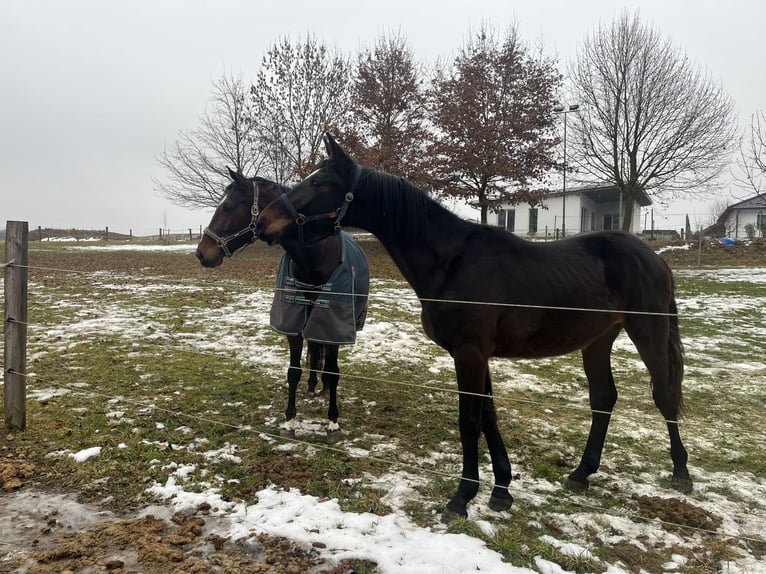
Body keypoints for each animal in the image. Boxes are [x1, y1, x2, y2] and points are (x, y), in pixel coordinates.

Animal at [195, 168, 369, 443]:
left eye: (229, 206)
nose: (202, 253)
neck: (316, 258)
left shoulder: (333, 325)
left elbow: (333, 371)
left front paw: (333, 423)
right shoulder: (293, 322)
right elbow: (293, 370)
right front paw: (289, 421)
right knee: (314, 350)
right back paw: (312, 385)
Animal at [255, 134, 692, 522]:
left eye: (320, 183)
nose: (263, 221)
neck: (451, 260)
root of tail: (653, 257)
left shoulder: (469, 354)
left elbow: (469, 420)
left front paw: (462, 497)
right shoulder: (479, 356)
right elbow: (488, 416)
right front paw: (501, 490)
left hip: (647, 333)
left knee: (664, 393)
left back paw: (681, 472)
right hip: (598, 340)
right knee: (603, 399)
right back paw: (582, 473)